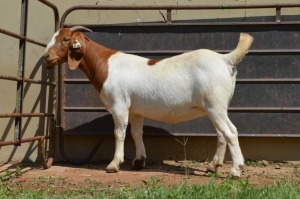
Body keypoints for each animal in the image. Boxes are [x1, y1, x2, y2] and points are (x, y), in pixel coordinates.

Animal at [45, 26, 253, 177]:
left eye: (65, 39)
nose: (47, 57)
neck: (106, 65)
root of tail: (226, 59)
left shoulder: (119, 105)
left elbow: (119, 133)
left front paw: (114, 164)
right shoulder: (135, 109)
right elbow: (136, 133)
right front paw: (139, 161)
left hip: (215, 105)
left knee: (231, 132)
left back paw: (236, 170)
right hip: (214, 107)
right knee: (221, 134)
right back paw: (213, 166)